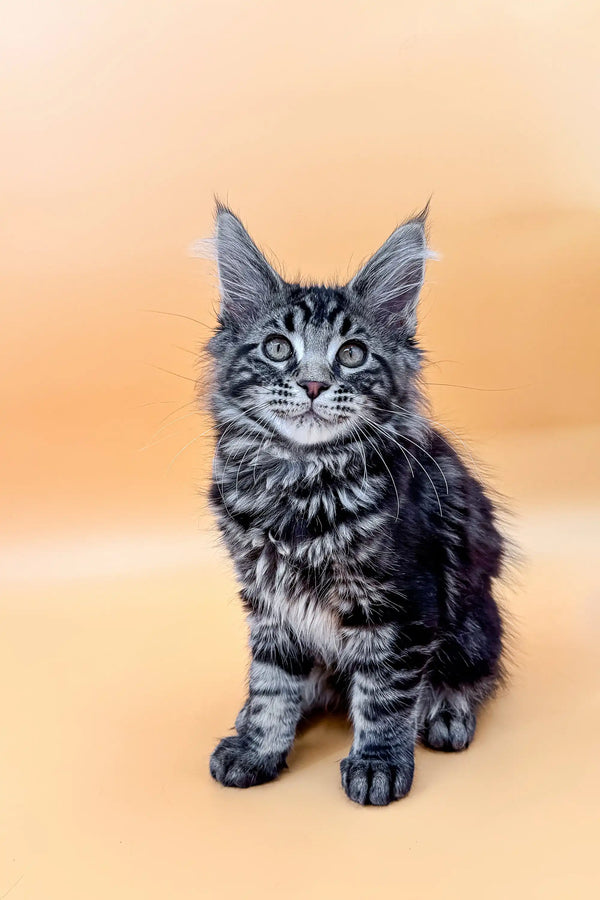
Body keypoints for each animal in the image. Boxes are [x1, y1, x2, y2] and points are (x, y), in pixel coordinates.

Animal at [204, 206, 504, 808]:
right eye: (277, 347)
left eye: (351, 354)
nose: (314, 384)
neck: (301, 482)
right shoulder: (270, 603)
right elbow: (272, 684)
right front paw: (257, 747)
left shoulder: (401, 604)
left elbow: (385, 693)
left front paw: (378, 762)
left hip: (474, 622)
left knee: (474, 674)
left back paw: (447, 711)